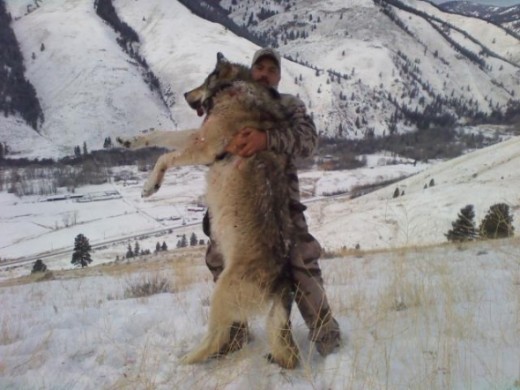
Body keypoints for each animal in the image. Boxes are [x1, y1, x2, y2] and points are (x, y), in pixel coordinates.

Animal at [116, 52, 298, 368]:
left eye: (203, 80)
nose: (185, 95)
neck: (235, 87)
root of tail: (281, 283)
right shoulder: (197, 136)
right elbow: (161, 134)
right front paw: (130, 141)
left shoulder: (204, 146)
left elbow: (165, 156)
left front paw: (152, 185)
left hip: (220, 292)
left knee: (215, 337)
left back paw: (185, 359)